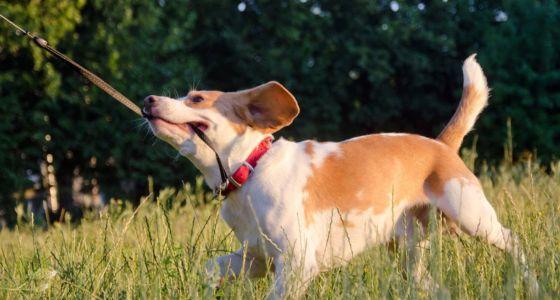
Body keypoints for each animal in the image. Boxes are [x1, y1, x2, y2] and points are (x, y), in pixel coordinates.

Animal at [143, 55, 532, 298]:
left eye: (196, 98)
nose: (147, 99)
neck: (250, 170)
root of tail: (440, 144)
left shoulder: (297, 263)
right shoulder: (255, 257)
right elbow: (210, 269)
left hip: (472, 216)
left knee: (514, 242)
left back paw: (533, 283)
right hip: (408, 257)